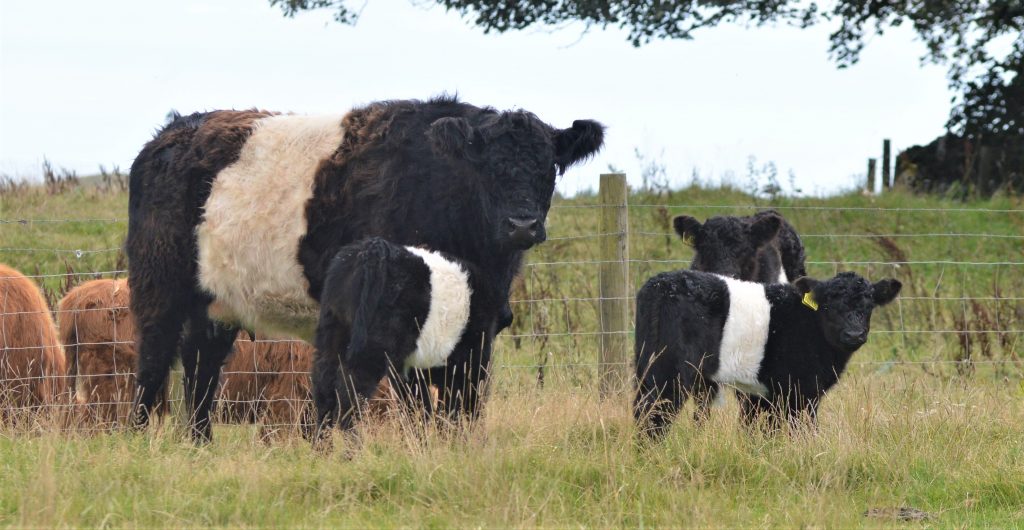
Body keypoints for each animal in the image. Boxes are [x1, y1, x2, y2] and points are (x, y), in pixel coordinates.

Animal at [313, 239, 501, 437]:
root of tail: (372, 248)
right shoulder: (468, 361)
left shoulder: (410, 369)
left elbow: (416, 407)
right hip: (371, 348)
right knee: (351, 395)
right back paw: (353, 442)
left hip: (332, 335)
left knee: (324, 390)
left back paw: (322, 442)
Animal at [634, 272, 901, 437]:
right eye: (830, 305)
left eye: (869, 306)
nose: (854, 334)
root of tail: (661, 284)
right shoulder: (801, 392)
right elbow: (802, 430)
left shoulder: (763, 394)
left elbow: (757, 431)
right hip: (670, 373)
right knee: (655, 414)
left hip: (646, 365)